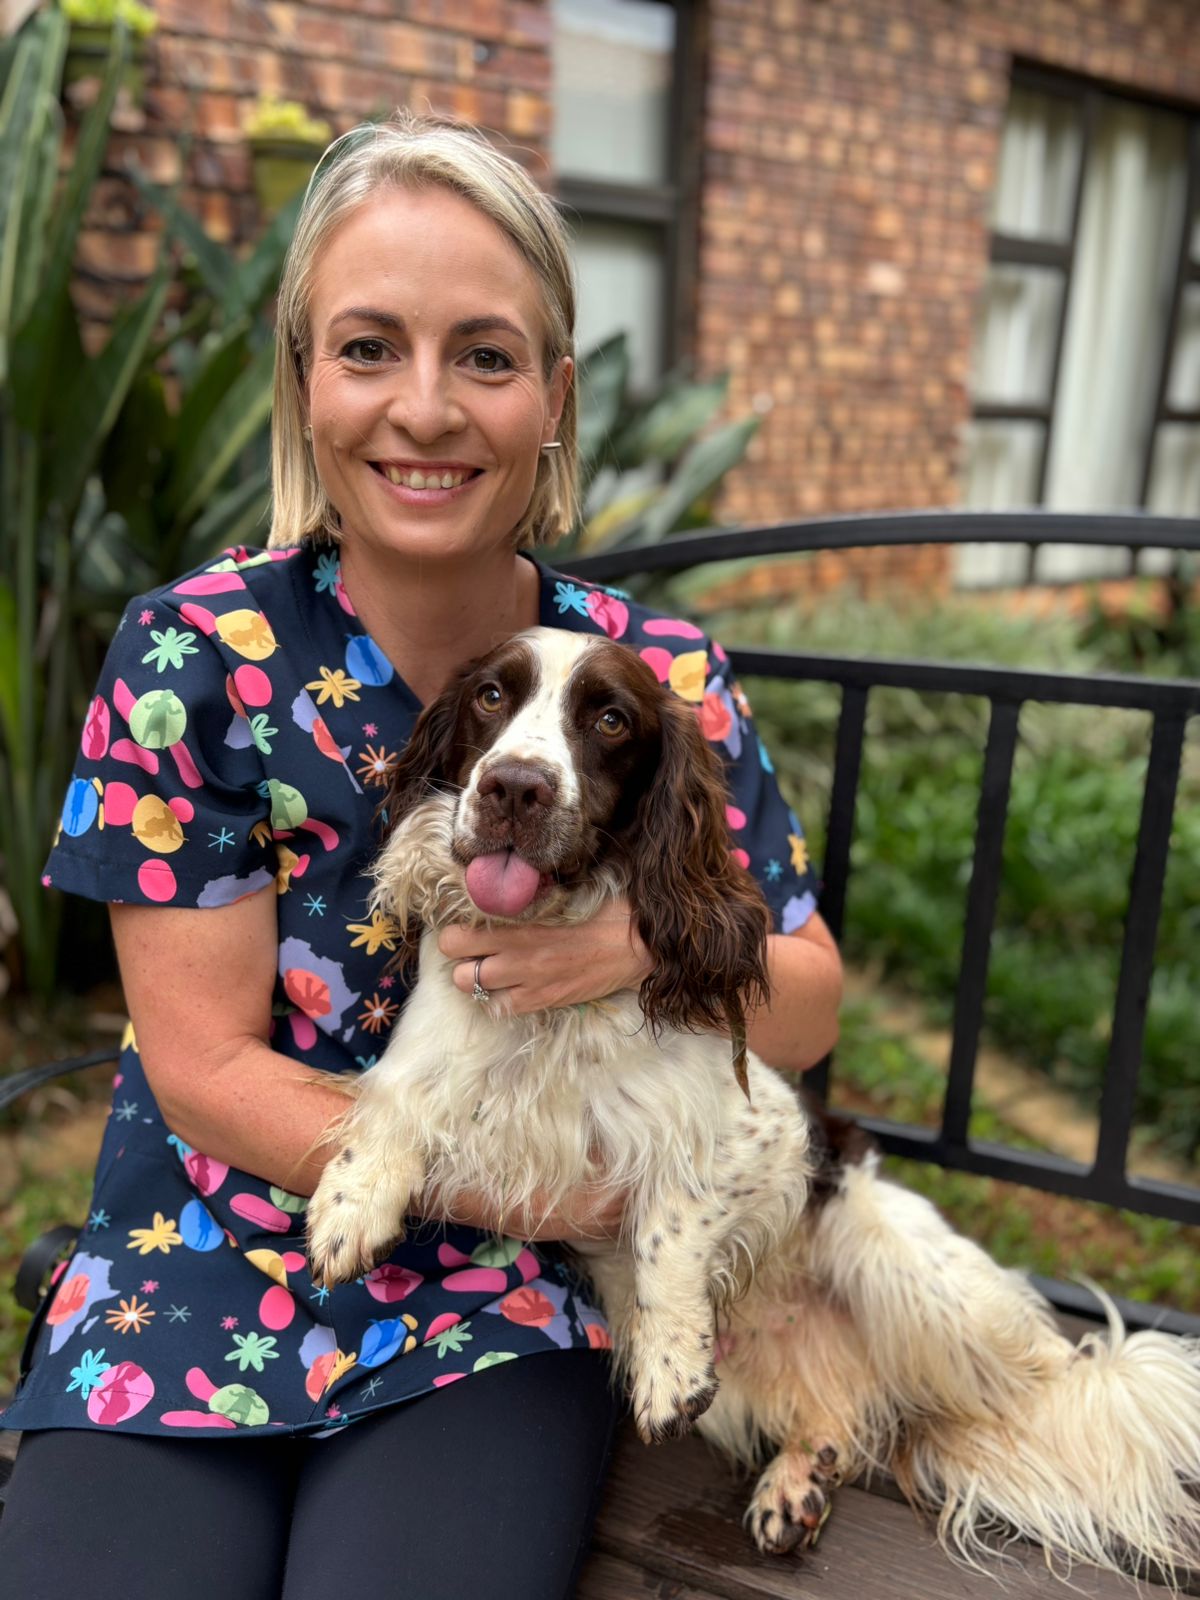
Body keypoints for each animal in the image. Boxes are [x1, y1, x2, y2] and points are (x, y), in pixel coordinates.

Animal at [307, 624, 1200, 1586]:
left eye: (611, 720)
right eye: (490, 698)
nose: (514, 787)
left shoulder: (742, 1135)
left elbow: (666, 1236)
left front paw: (667, 1369)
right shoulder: (425, 1064)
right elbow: (392, 1110)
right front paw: (348, 1208)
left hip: (909, 1274)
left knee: (1045, 1378)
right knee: (839, 1414)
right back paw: (797, 1484)